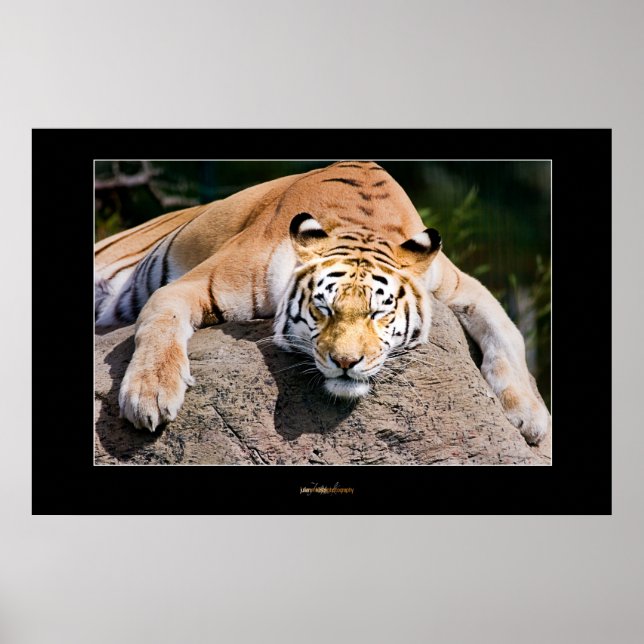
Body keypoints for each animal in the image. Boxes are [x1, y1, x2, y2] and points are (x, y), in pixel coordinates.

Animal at [95, 160, 551, 444]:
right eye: (323, 308)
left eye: (379, 312)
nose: (346, 363)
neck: (365, 226)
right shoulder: (197, 283)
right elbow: (162, 320)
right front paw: (150, 395)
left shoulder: (460, 283)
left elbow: (507, 332)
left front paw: (530, 417)